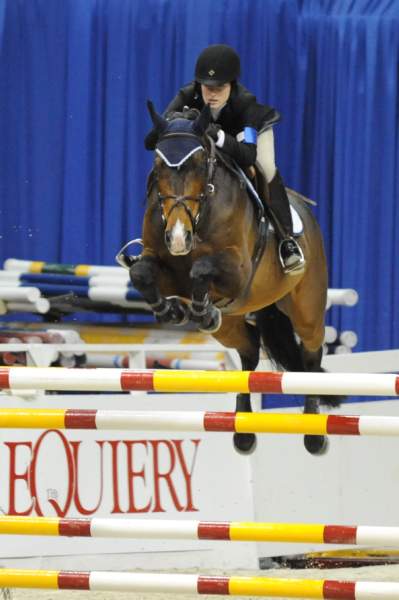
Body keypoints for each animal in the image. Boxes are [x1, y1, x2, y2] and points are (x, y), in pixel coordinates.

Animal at [128, 102, 340, 454]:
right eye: (158, 166)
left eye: (199, 163)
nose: (178, 237)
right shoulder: (164, 267)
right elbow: (141, 272)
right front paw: (171, 310)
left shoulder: (238, 272)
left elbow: (201, 269)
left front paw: (197, 309)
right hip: (231, 324)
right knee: (249, 349)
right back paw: (243, 432)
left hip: (306, 308)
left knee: (310, 354)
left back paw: (313, 434)